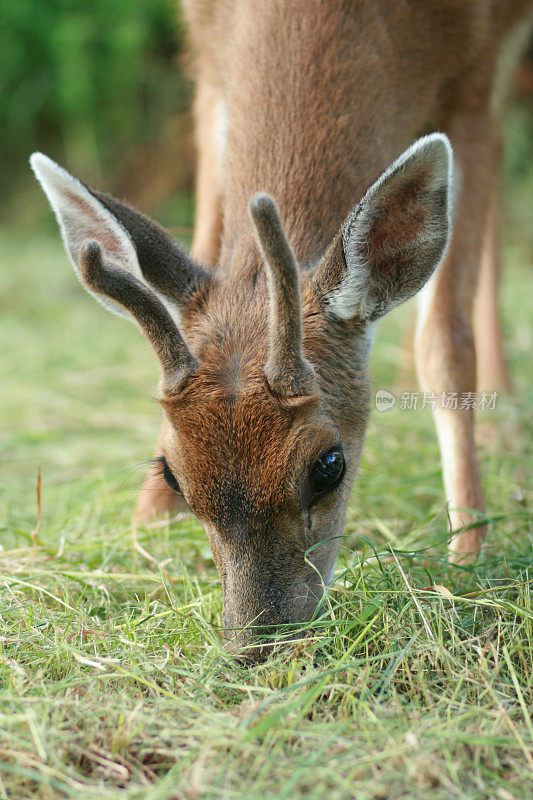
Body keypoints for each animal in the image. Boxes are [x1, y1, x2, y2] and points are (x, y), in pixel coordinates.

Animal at [31, 3, 528, 660]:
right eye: (172, 471)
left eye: (329, 466)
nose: (253, 643)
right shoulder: (208, 62)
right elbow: (203, 243)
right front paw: (143, 528)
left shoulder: (479, 75)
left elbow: (446, 342)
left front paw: (467, 550)